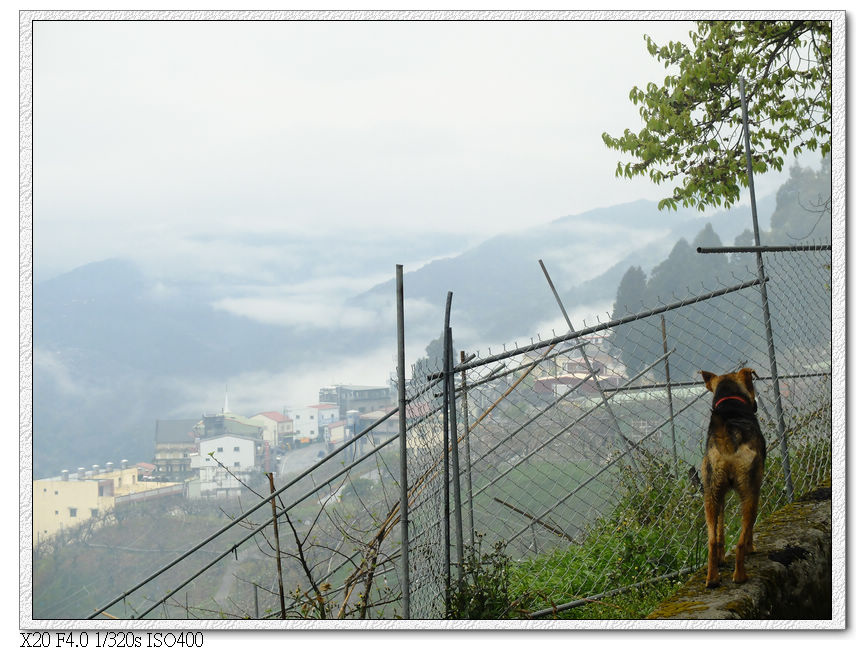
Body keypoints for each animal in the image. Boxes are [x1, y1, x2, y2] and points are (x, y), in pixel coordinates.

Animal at [700, 368, 768, 584]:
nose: (755, 406)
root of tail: (728, 440)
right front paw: (750, 548)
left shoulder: (719, 496)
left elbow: (720, 531)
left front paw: (721, 559)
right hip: (750, 492)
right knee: (740, 540)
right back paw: (740, 575)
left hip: (710, 493)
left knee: (711, 541)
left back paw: (712, 579)